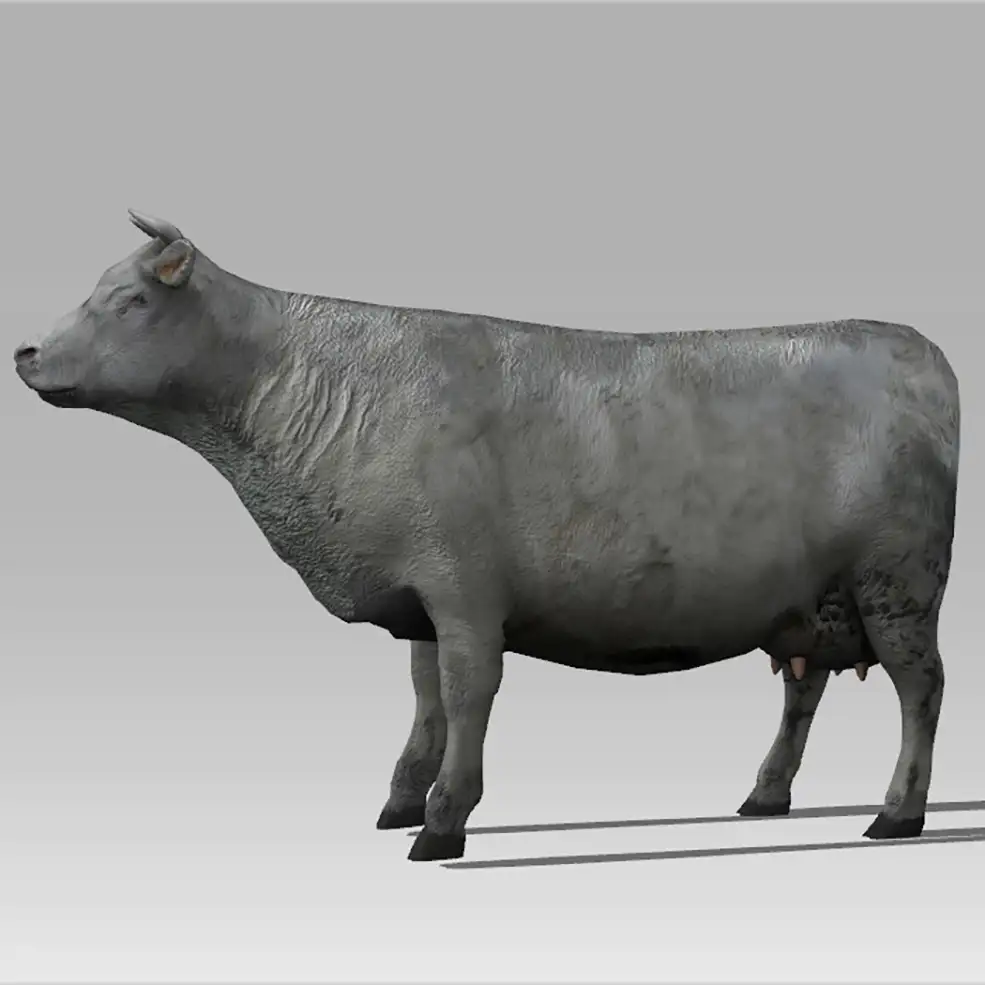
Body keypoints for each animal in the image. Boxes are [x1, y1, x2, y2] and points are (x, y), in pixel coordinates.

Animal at [14, 210, 959, 862]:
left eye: (128, 299)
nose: (24, 354)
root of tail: (912, 342)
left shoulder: (463, 585)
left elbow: (469, 692)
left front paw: (442, 821)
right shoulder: (419, 594)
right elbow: (424, 695)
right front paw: (402, 797)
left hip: (899, 582)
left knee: (921, 688)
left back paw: (896, 812)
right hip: (816, 597)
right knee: (803, 688)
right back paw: (765, 796)